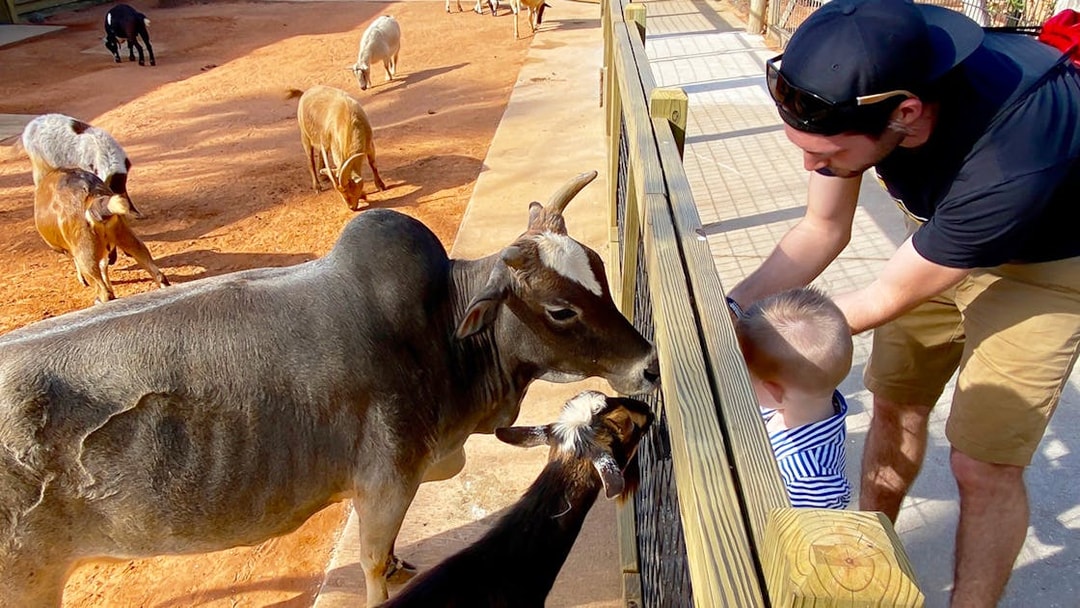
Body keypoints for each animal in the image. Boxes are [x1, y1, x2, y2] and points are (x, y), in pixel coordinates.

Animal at [33, 168, 169, 303]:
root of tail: (93, 197)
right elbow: (104, 267)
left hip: (86, 254)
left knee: (101, 289)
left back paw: (100, 299)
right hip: (128, 238)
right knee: (158, 274)